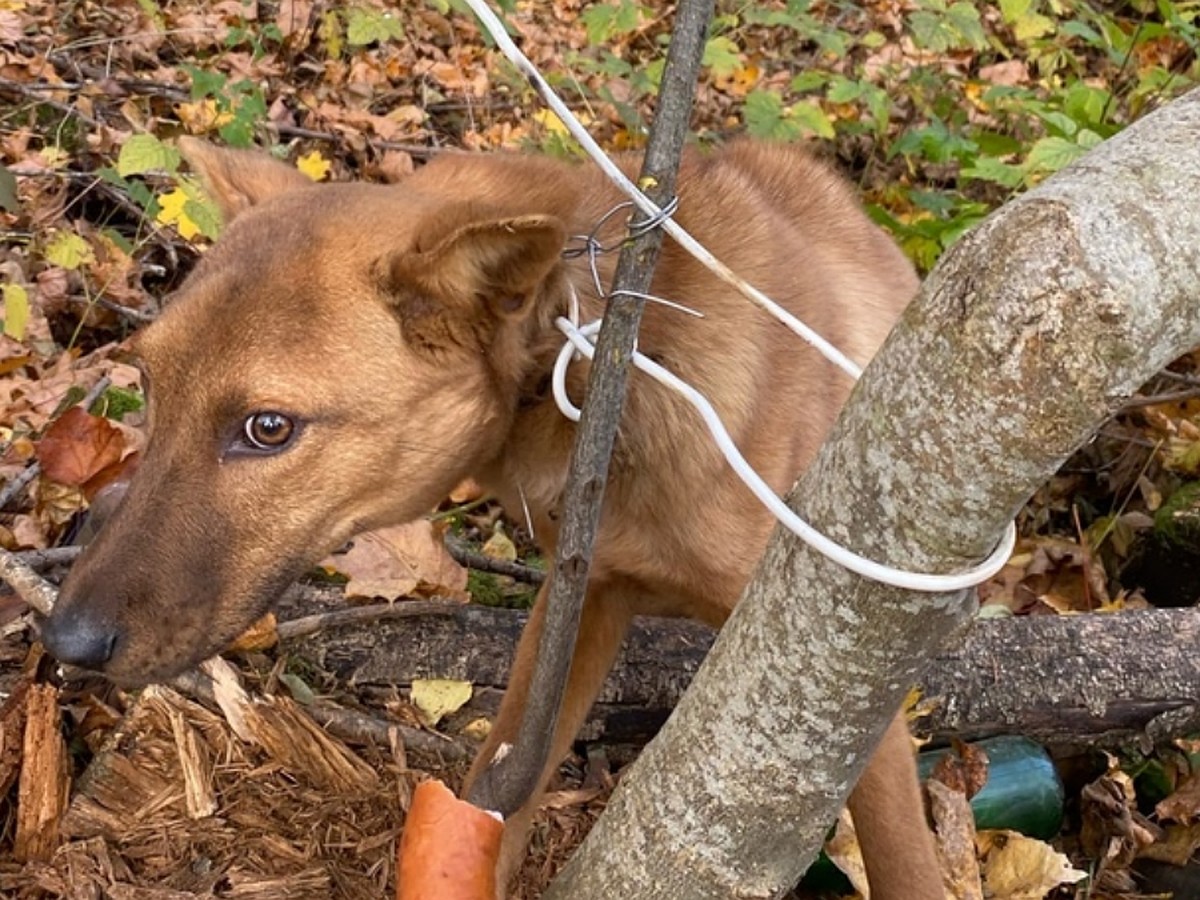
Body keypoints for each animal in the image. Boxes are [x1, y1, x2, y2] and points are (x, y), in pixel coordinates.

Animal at [42, 137, 940, 897]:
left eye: (268, 428)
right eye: (149, 385)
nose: (65, 642)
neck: (607, 352)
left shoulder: (850, 663)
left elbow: (907, 862)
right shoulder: (583, 600)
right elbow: (497, 794)